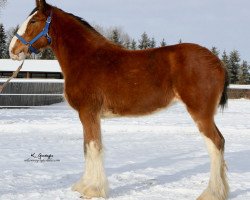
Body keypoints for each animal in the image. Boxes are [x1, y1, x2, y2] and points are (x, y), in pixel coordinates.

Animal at [9, 0, 229, 199]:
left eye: (34, 20)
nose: (13, 49)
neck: (86, 58)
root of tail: (217, 62)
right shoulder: (90, 115)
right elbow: (87, 147)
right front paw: (84, 186)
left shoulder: (88, 113)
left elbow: (93, 147)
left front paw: (93, 190)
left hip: (201, 113)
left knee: (215, 144)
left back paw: (212, 193)